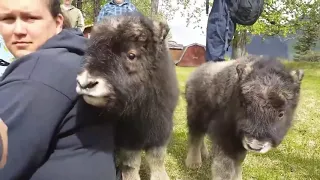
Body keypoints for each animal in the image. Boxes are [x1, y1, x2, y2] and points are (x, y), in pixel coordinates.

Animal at [75, 13, 180, 180]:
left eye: (132, 55)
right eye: (94, 50)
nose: (85, 83)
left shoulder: (161, 128)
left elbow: (157, 158)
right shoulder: (128, 136)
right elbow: (132, 162)